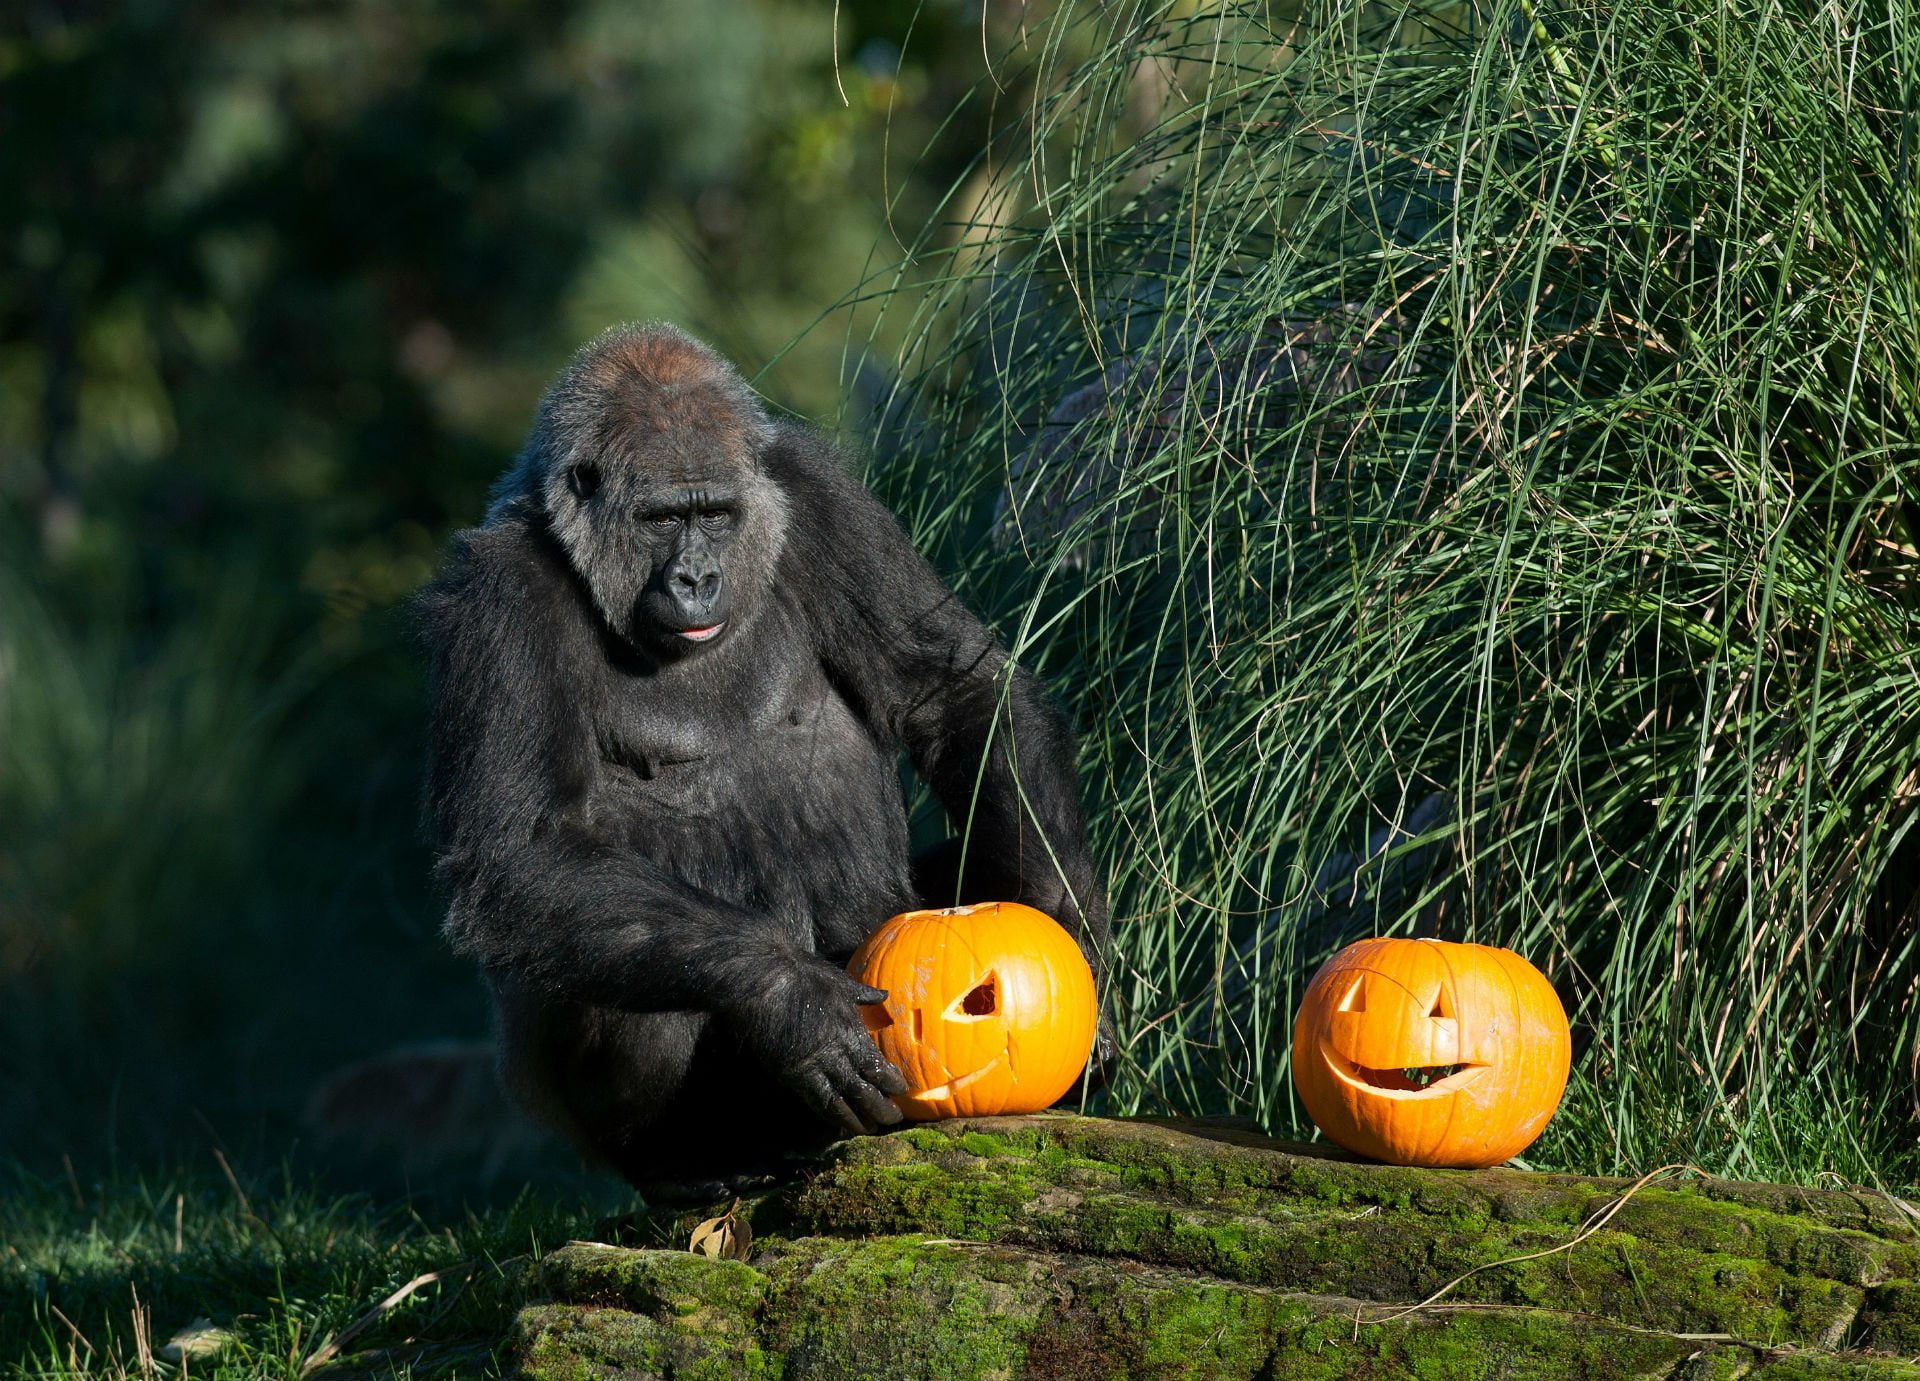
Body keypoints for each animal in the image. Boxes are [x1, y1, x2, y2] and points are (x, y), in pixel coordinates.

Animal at [415, 324, 1110, 1193]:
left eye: (714, 513)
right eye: (659, 518)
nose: (696, 576)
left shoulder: (816, 495)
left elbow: (949, 689)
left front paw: (1066, 912)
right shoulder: (497, 596)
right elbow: (523, 855)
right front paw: (790, 997)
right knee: (629, 965)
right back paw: (687, 1165)